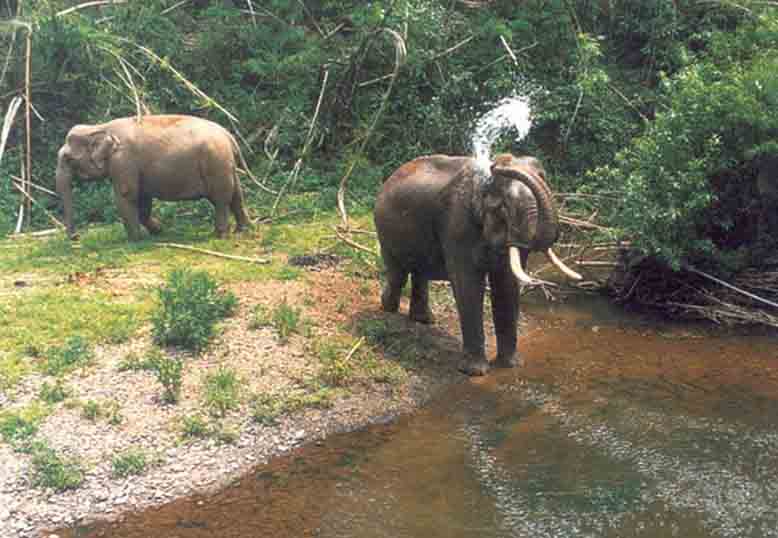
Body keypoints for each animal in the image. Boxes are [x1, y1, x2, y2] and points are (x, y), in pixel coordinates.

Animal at [55, 114, 251, 240]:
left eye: (68, 159)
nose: (76, 237)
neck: (100, 127)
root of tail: (228, 135)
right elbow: (143, 199)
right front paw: (159, 231)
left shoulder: (123, 161)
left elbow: (126, 196)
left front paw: (134, 240)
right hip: (225, 164)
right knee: (237, 195)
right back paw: (242, 230)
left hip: (216, 163)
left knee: (221, 199)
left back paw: (219, 235)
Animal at [374, 154, 581, 376]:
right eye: (504, 208)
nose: (499, 162)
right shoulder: (457, 226)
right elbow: (468, 283)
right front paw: (475, 372)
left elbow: (506, 283)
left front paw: (511, 365)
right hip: (385, 231)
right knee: (398, 272)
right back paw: (388, 308)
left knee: (420, 273)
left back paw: (424, 320)